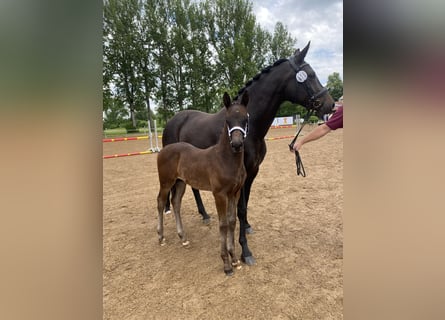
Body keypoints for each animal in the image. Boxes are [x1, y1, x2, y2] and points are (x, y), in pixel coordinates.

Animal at [156, 90, 248, 276]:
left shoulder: (234, 193)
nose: (237, 144)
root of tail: (163, 150)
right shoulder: (219, 194)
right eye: (227, 120)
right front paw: (226, 265)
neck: (225, 159)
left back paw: (183, 238)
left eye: (246, 119)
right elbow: (223, 224)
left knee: (175, 202)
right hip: (166, 182)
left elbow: (232, 221)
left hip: (180, 183)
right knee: (161, 202)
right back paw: (161, 236)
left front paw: (235, 259)